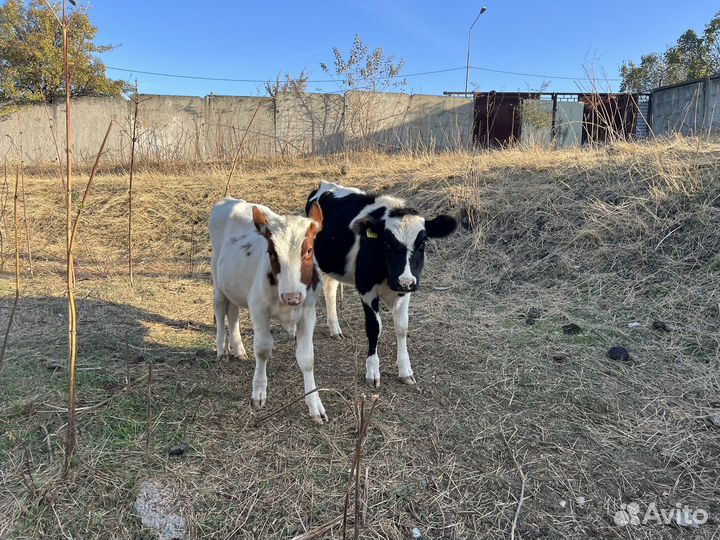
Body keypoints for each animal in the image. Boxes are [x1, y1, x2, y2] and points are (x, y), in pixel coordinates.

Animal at [209, 197, 327, 424]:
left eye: (309, 250)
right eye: (271, 253)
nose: (292, 297)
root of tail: (229, 200)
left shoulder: (309, 312)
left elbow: (307, 358)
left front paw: (314, 404)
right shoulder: (258, 309)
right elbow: (263, 349)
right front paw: (258, 393)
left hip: (235, 286)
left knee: (233, 313)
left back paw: (239, 349)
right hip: (218, 281)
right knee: (220, 309)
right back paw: (222, 350)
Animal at [305, 181, 457, 388]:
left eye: (422, 243)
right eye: (387, 243)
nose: (405, 281)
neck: (387, 273)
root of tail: (324, 185)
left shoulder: (404, 292)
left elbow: (402, 327)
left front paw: (405, 370)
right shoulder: (367, 290)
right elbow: (374, 328)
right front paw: (372, 372)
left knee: (330, 289)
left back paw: (335, 329)